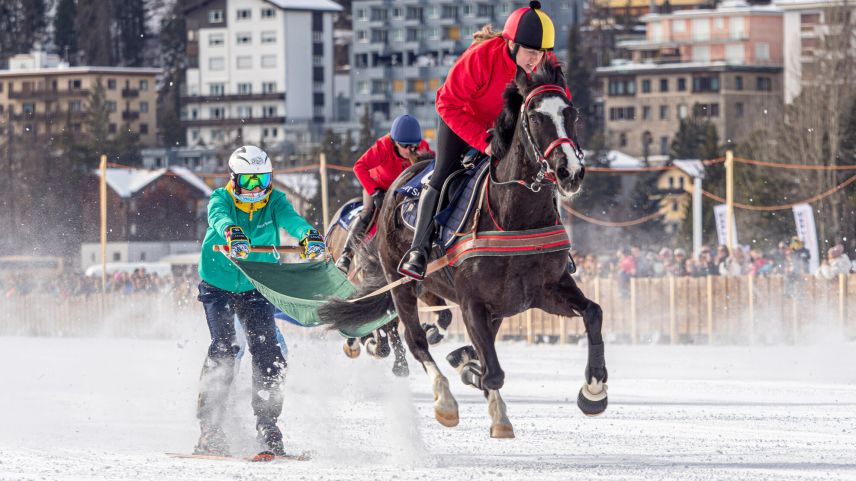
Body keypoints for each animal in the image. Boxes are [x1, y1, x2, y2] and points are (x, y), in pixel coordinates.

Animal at [320, 62, 608, 436]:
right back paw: (441, 395)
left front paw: (594, 389)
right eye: (534, 115)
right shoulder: (473, 301)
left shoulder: (546, 289)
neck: (515, 217)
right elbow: (493, 371)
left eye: (571, 112)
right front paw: (494, 410)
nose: (570, 171)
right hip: (403, 283)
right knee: (414, 340)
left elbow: (593, 313)